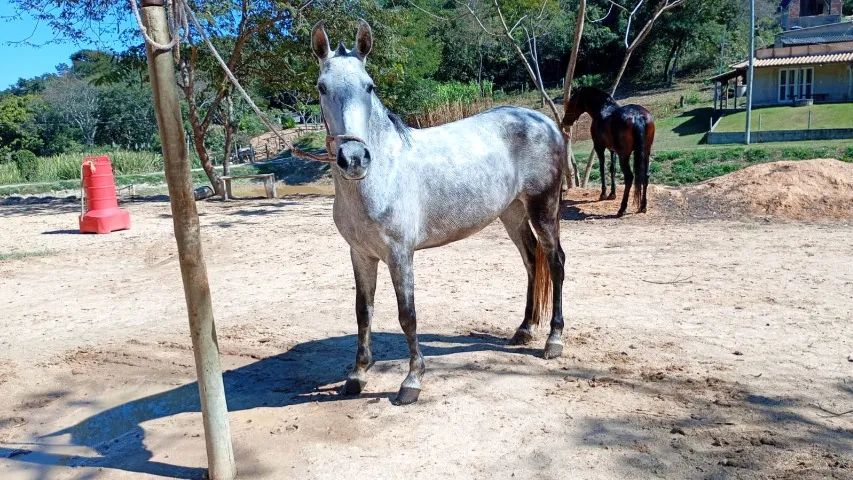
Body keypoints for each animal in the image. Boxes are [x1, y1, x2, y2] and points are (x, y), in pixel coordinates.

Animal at [309, 20, 566, 405]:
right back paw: (524, 330)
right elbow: (363, 312)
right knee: (532, 261)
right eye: (322, 87)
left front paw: (412, 381)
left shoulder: (400, 254)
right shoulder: (360, 254)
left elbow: (407, 315)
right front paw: (357, 375)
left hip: (543, 209)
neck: (381, 175)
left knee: (555, 262)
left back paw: (554, 340)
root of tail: (544, 121)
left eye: (369, 86)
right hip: (512, 213)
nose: (354, 159)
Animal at [563, 87, 655, 216]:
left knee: (629, 177)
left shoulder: (599, 147)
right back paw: (643, 207)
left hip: (624, 155)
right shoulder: (613, 150)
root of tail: (638, 117)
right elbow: (612, 169)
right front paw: (612, 194)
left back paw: (622, 209)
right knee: (646, 176)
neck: (603, 109)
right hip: (646, 152)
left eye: (571, 102)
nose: (565, 121)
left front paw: (603, 194)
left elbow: (603, 168)